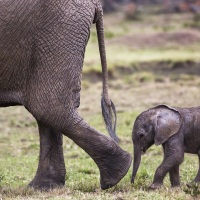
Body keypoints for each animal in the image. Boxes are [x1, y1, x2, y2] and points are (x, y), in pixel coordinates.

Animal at [0, 0, 133, 191]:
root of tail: (95, 2)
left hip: (59, 28)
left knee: (47, 107)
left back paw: (115, 175)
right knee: (49, 111)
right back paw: (43, 187)